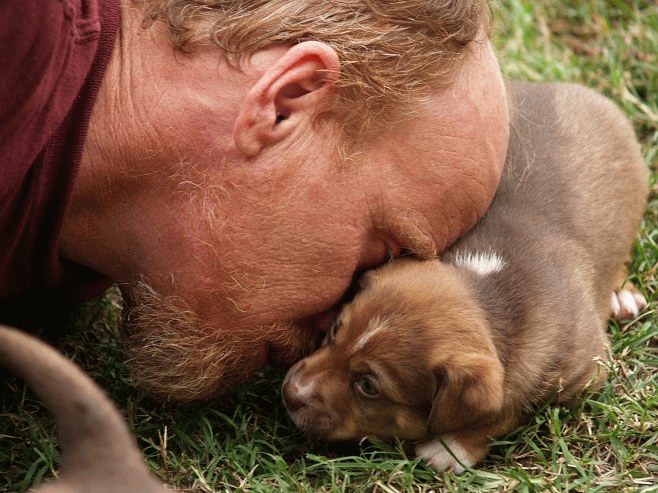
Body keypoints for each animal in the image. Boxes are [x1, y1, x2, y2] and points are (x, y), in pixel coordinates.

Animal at [280, 82, 644, 470]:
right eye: (336, 331)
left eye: (368, 386)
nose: (289, 393)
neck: (490, 287)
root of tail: (581, 90)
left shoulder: (587, 368)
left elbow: (511, 407)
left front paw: (451, 447)